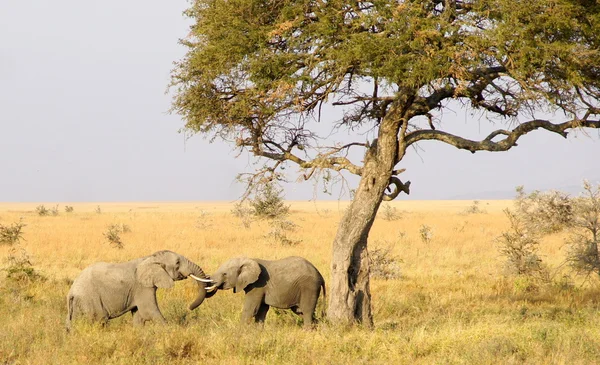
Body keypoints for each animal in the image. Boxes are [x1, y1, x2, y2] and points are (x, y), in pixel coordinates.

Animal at [65, 247, 216, 330]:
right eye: (178, 263)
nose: (189, 308)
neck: (150, 258)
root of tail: (71, 292)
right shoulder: (143, 287)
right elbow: (149, 312)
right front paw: (171, 332)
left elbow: (139, 316)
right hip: (91, 300)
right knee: (99, 321)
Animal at [191, 256, 324, 328]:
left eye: (225, 274)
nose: (190, 308)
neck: (247, 260)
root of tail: (320, 275)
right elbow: (261, 311)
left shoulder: (258, 285)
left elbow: (251, 309)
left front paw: (239, 333)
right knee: (301, 311)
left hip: (309, 287)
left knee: (306, 311)